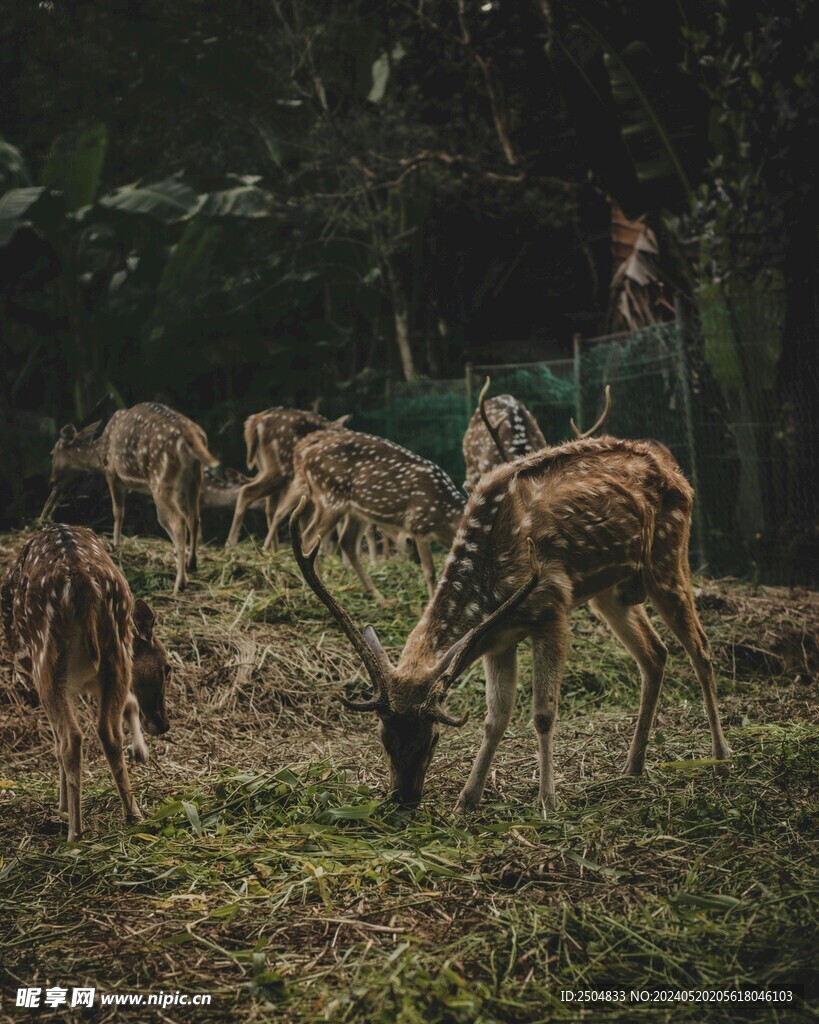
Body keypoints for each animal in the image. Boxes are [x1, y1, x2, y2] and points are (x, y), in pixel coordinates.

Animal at [1, 525, 171, 842]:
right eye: (168, 667)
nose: (164, 724)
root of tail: (80, 578)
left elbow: (57, 743)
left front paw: (62, 804)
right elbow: (129, 704)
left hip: (46, 660)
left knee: (72, 738)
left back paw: (74, 832)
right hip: (114, 658)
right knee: (108, 733)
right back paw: (134, 813)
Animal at [43, 402, 221, 593]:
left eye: (52, 453)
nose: (51, 481)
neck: (99, 453)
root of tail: (191, 435)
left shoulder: (112, 473)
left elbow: (118, 511)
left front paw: (115, 544)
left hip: (159, 478)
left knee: (175, 521)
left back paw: (180, 582)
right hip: (194, 478)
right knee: (194, 519)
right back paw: (192, 563)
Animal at [225, 408, 351, 550]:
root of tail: (255, 421)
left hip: (267, 468)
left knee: (270, 508)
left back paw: (272, 550)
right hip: (281, 469)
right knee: (248, 492)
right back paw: (231, 545)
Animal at [280, 429, 466, 601]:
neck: (445, 516)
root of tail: (306, 456)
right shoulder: (419, 525)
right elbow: (430, 572)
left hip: (355, 511)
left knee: (346, 541)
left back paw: (379, 597)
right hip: (331, 498)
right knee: (311, 535)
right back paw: (323, 587)